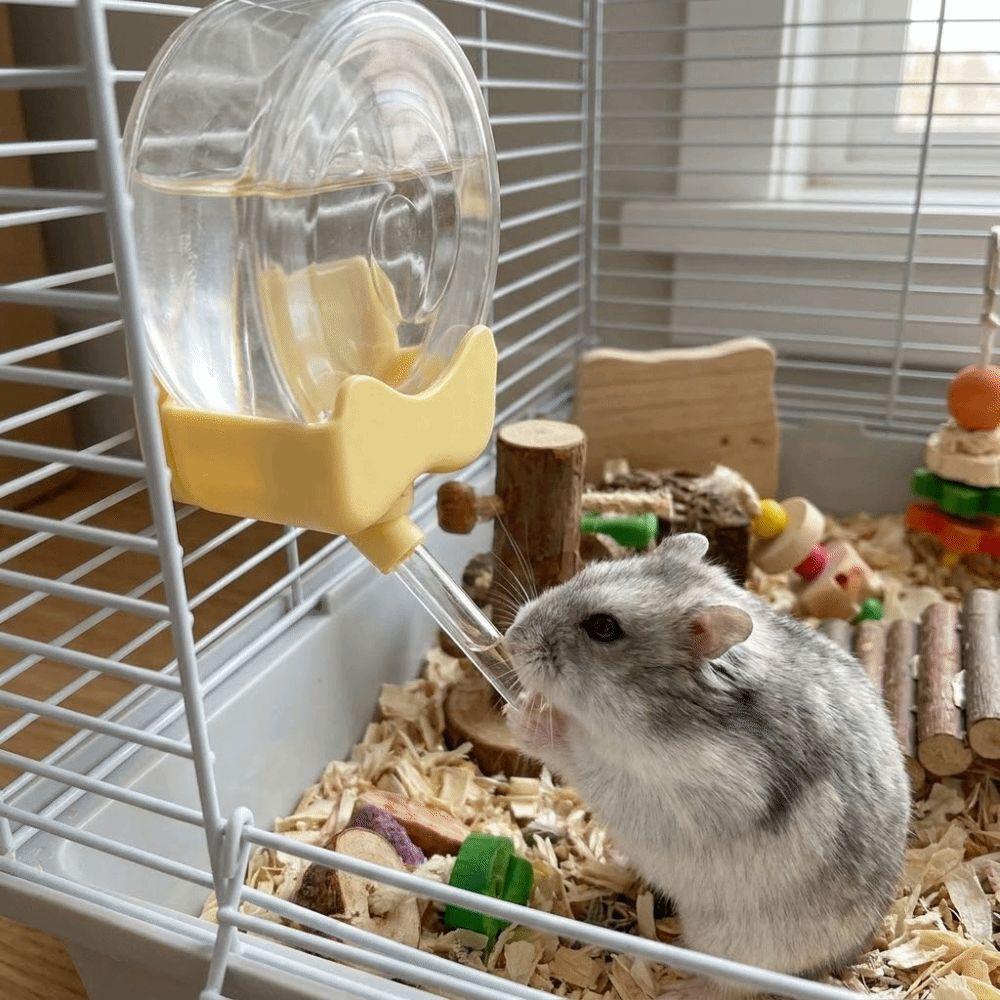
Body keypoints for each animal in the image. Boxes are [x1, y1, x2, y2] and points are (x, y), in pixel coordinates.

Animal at [504, 533, 909, 995]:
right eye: (587, 570)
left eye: (603, 627)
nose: (509, 639)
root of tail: (849, 955)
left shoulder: (669, 792)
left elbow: (580, 755)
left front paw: (521, 716)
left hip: (736, 945)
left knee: (733, 986)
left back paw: (678, 989)